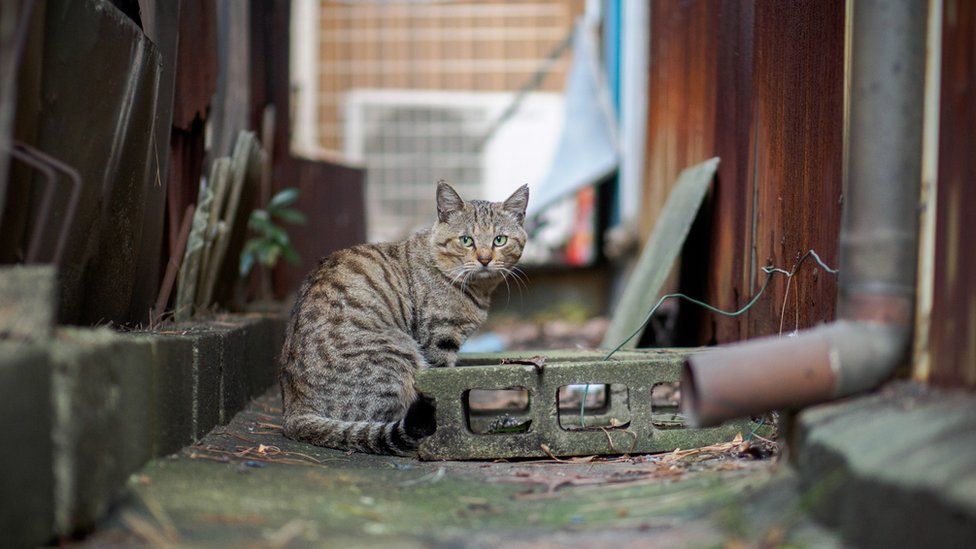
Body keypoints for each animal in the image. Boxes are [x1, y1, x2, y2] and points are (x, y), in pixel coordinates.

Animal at [278, 181, 528, 454]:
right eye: (466, 240)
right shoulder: (439, 340)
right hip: (399, 354)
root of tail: (292, 411)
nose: (485, 259)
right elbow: (445, 388)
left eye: (500, 240)